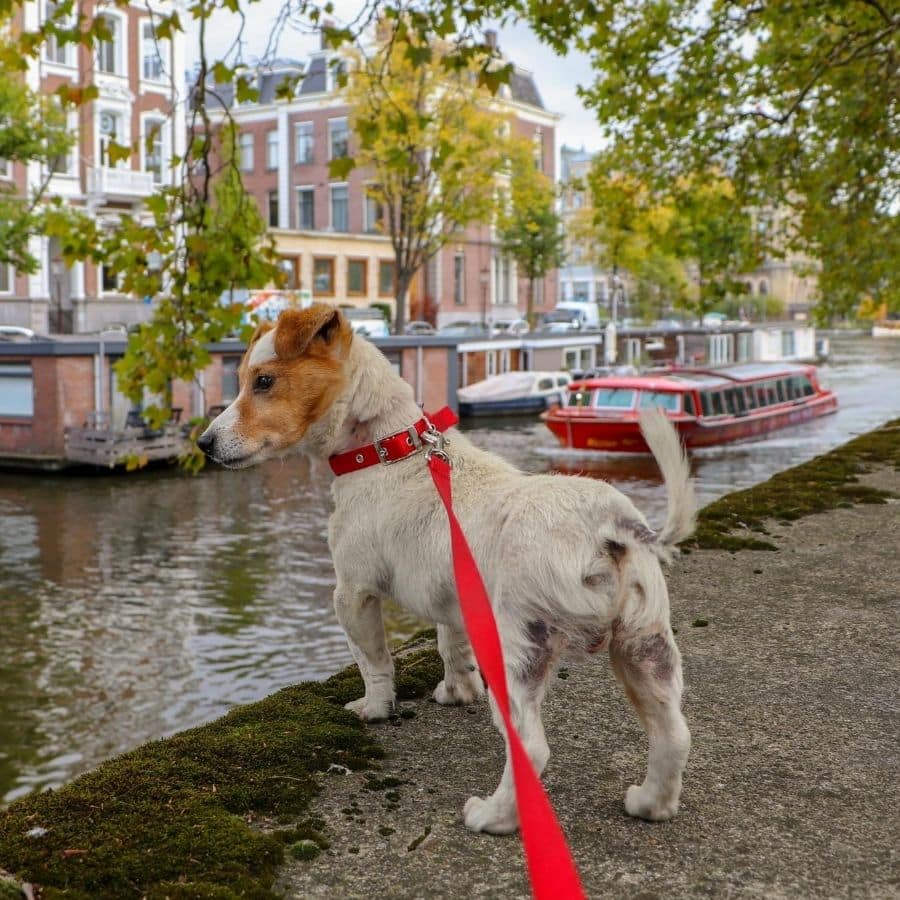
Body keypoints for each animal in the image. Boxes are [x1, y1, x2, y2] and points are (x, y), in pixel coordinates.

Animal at [200, 306, 692, 832]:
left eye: (264, 381)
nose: (204, 443)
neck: (387, 450)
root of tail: (606, 522)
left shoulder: (352, 593)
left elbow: (374, 663)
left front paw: (374, 708)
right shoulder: (452, 599)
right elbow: (451, 648)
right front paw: (457, 692)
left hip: (520, 652)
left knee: (531, 748)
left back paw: (493, 816)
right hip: (645, 650)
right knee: (673, 736)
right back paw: (650, 804)